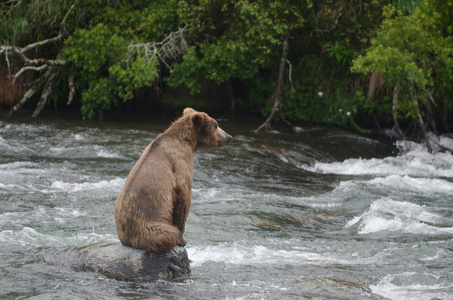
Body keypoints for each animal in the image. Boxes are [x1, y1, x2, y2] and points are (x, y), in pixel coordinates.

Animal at [113, 108, 233, 253]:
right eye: (215, 125)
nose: (229, 137)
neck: (187, 142)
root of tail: (127, 240)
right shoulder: (180, 163)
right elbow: (183, 197)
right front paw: (183, 240)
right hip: (149, 227)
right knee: (168, 233)